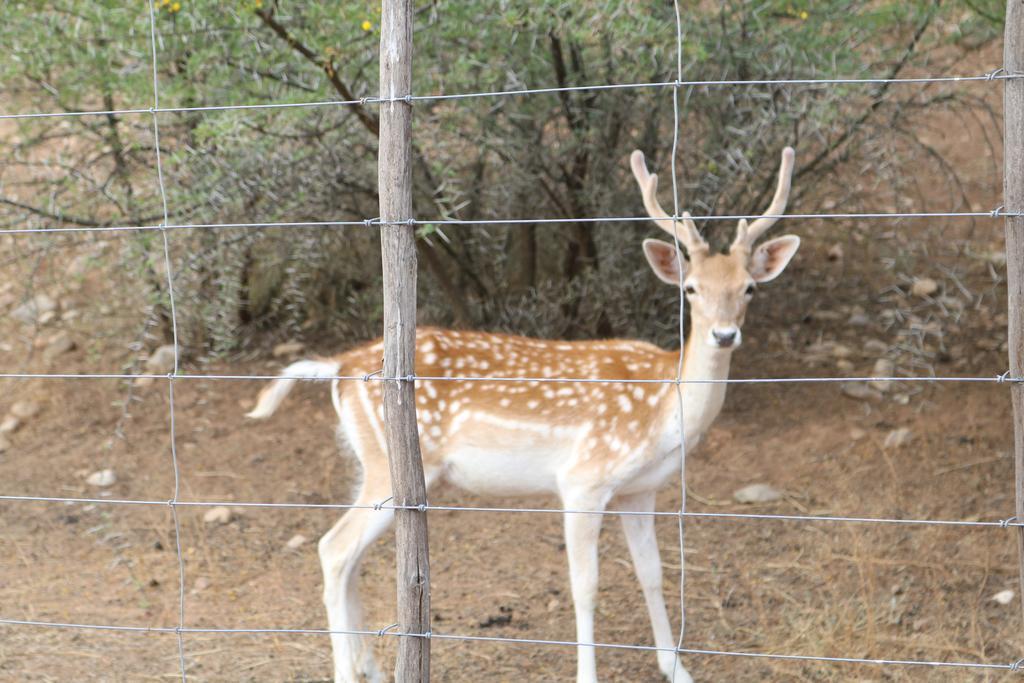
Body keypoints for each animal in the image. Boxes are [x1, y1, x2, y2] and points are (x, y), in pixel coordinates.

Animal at [245, 147, 798, 679]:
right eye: (691, 289)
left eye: (748, 287)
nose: (724, 335)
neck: (665, 407)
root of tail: (339, 366)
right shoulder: (583, 480)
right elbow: (586, 586)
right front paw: (588, 676)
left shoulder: (640, 489)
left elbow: (653, 574)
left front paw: (677, 669)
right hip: (386, 464)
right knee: (334, 549)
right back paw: (349, 669)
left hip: (372, 465)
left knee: (349, 558)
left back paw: (372, 669)